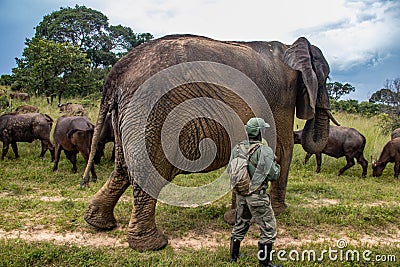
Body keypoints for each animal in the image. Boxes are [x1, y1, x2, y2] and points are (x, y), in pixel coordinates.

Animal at [81, 34, 334, 252]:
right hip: (152, 111)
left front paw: (235, 217)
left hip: (127, 114)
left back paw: (98, 223)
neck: (289, 46)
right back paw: (153, 245)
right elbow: (282, 148)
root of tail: (116, 74)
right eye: (325, 78)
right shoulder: (283, 93)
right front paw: (279, 212)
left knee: (122, 168)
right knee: (147, 171)